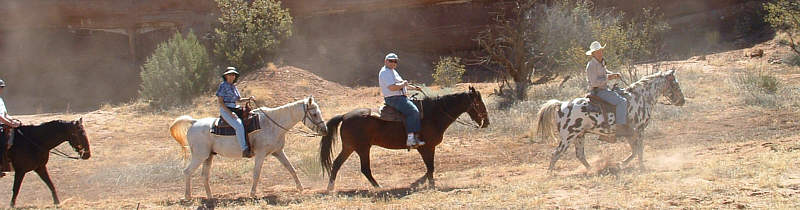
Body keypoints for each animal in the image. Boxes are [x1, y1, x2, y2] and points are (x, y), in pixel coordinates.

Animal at [318, 86, 488, 191]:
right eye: (479, 103)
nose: (486, 122)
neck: (434, 114)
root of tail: (345, 116)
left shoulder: (428, 148)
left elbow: (429, 168)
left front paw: (419, 183)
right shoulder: (426, 147)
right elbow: (430, 167)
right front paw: (429, 185)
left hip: (349, 147)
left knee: (336, 164)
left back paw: (330, 188)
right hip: (362, 148)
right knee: (365, 168)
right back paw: (379, 187)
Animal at [536, 69, 684, 171]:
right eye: (675, 84)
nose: (682, 100)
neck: (640, 98)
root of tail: (561, 104)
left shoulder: (630, 134)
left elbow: (635, 150)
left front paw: (622, 164)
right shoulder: (639, 130)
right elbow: (639, 150)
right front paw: (639, 167)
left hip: (579, 135)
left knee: (580, 155)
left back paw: (591, 170)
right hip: (568, 137)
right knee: (556, 154)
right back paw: (550, 174)